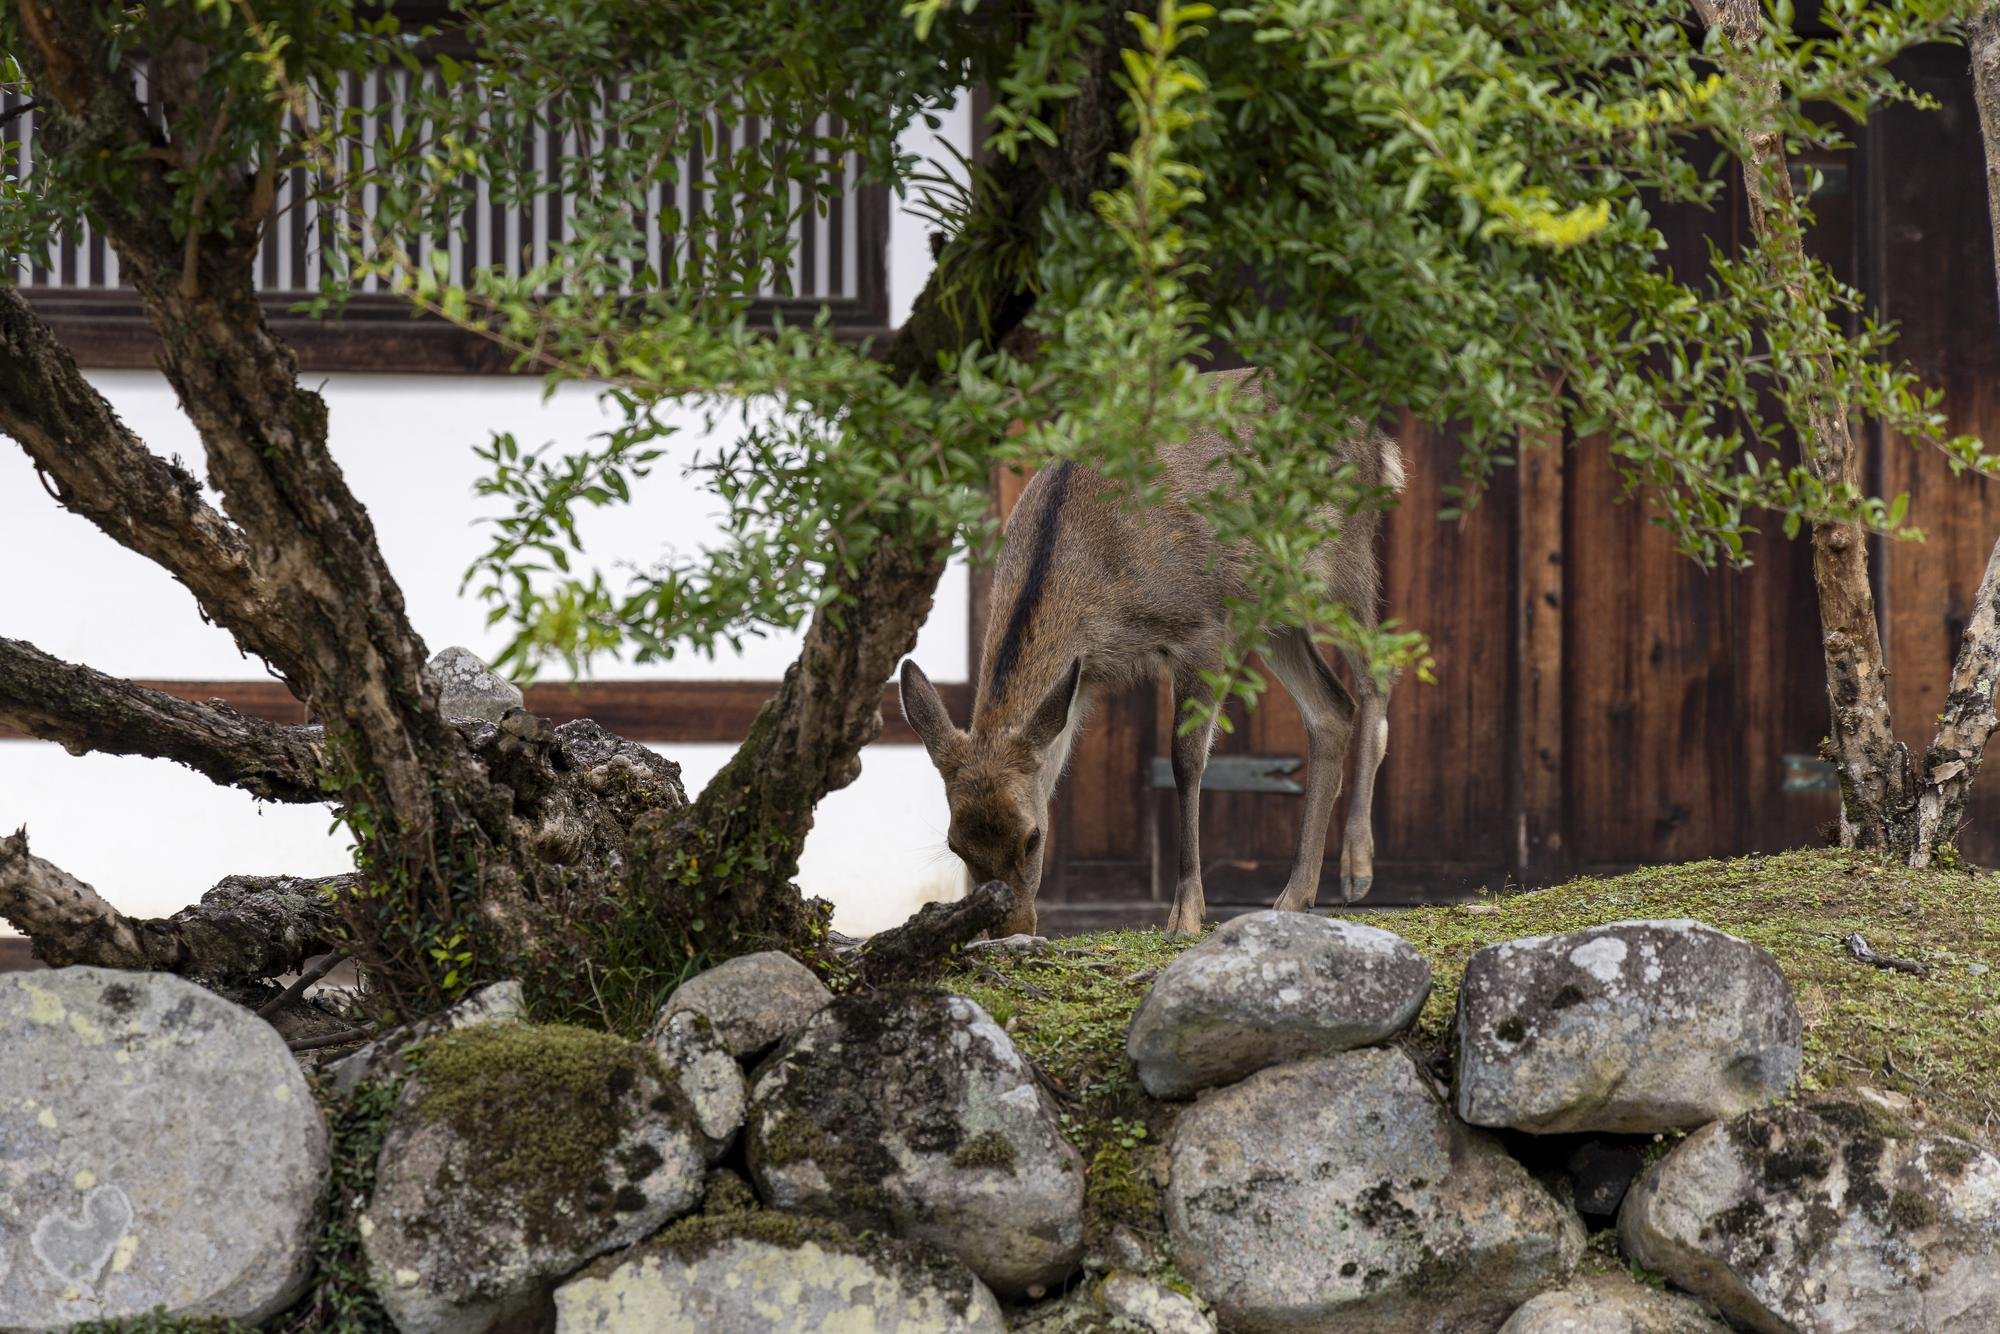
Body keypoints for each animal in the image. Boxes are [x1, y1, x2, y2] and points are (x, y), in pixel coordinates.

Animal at [899, 368, 1403, 938]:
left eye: (1031, 838)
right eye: (955, 844)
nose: (1013, 929)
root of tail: (1378, 442)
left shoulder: (1201, 625)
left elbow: (1185, 759)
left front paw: (1186, 913)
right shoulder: (1082, 679)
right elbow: (1056, 772)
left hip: (1342, 557)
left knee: (1380, 666)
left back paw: (1357, 868)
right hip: (1271, 607)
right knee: (1330, 707)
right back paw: (1294, 898)